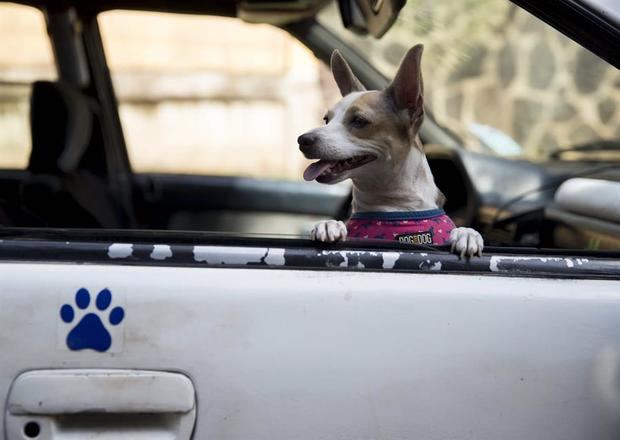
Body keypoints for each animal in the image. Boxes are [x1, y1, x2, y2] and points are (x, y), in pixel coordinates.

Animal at [296, 44, 484, 258]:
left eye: (359, 121)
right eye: (326, 119)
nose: (303, 140)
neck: (395, 210)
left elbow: (464, 231)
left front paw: (467, 233)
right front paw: (330, 224)